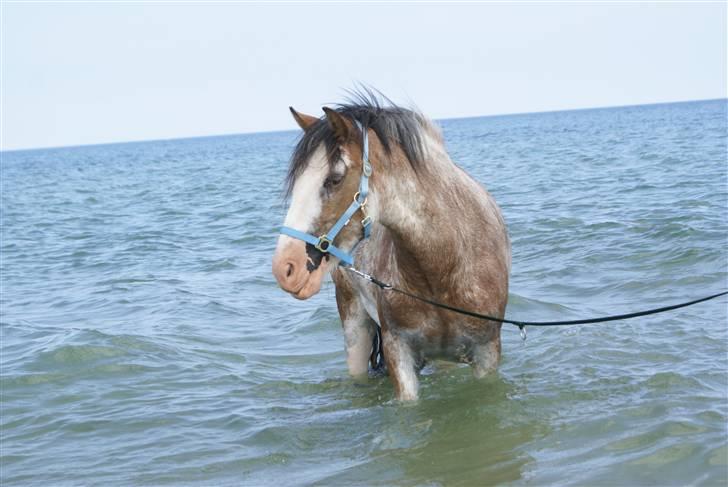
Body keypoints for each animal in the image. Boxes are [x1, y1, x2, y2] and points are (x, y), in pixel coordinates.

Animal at [270, 92, 510, 400]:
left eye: (334, 179)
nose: (285, 268)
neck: (445, 264)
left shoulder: (486, 353)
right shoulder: (399, 352)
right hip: (355, 331)